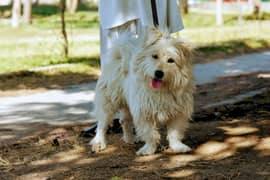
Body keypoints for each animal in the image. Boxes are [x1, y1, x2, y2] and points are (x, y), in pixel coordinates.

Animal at [90, 27, 194, 155]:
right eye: (154, 56)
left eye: (171, 60)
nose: (158, 73)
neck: (161, 89)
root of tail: (118, 55)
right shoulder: (143, 112)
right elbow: (149, 134)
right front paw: (148, 149)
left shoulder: (179, 113)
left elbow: (175, 133)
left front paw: (178, 147)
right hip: (108, 103)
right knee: (102, 125)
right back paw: (99, 143)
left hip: (128, 104)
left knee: (124, 121)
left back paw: (129, 139)